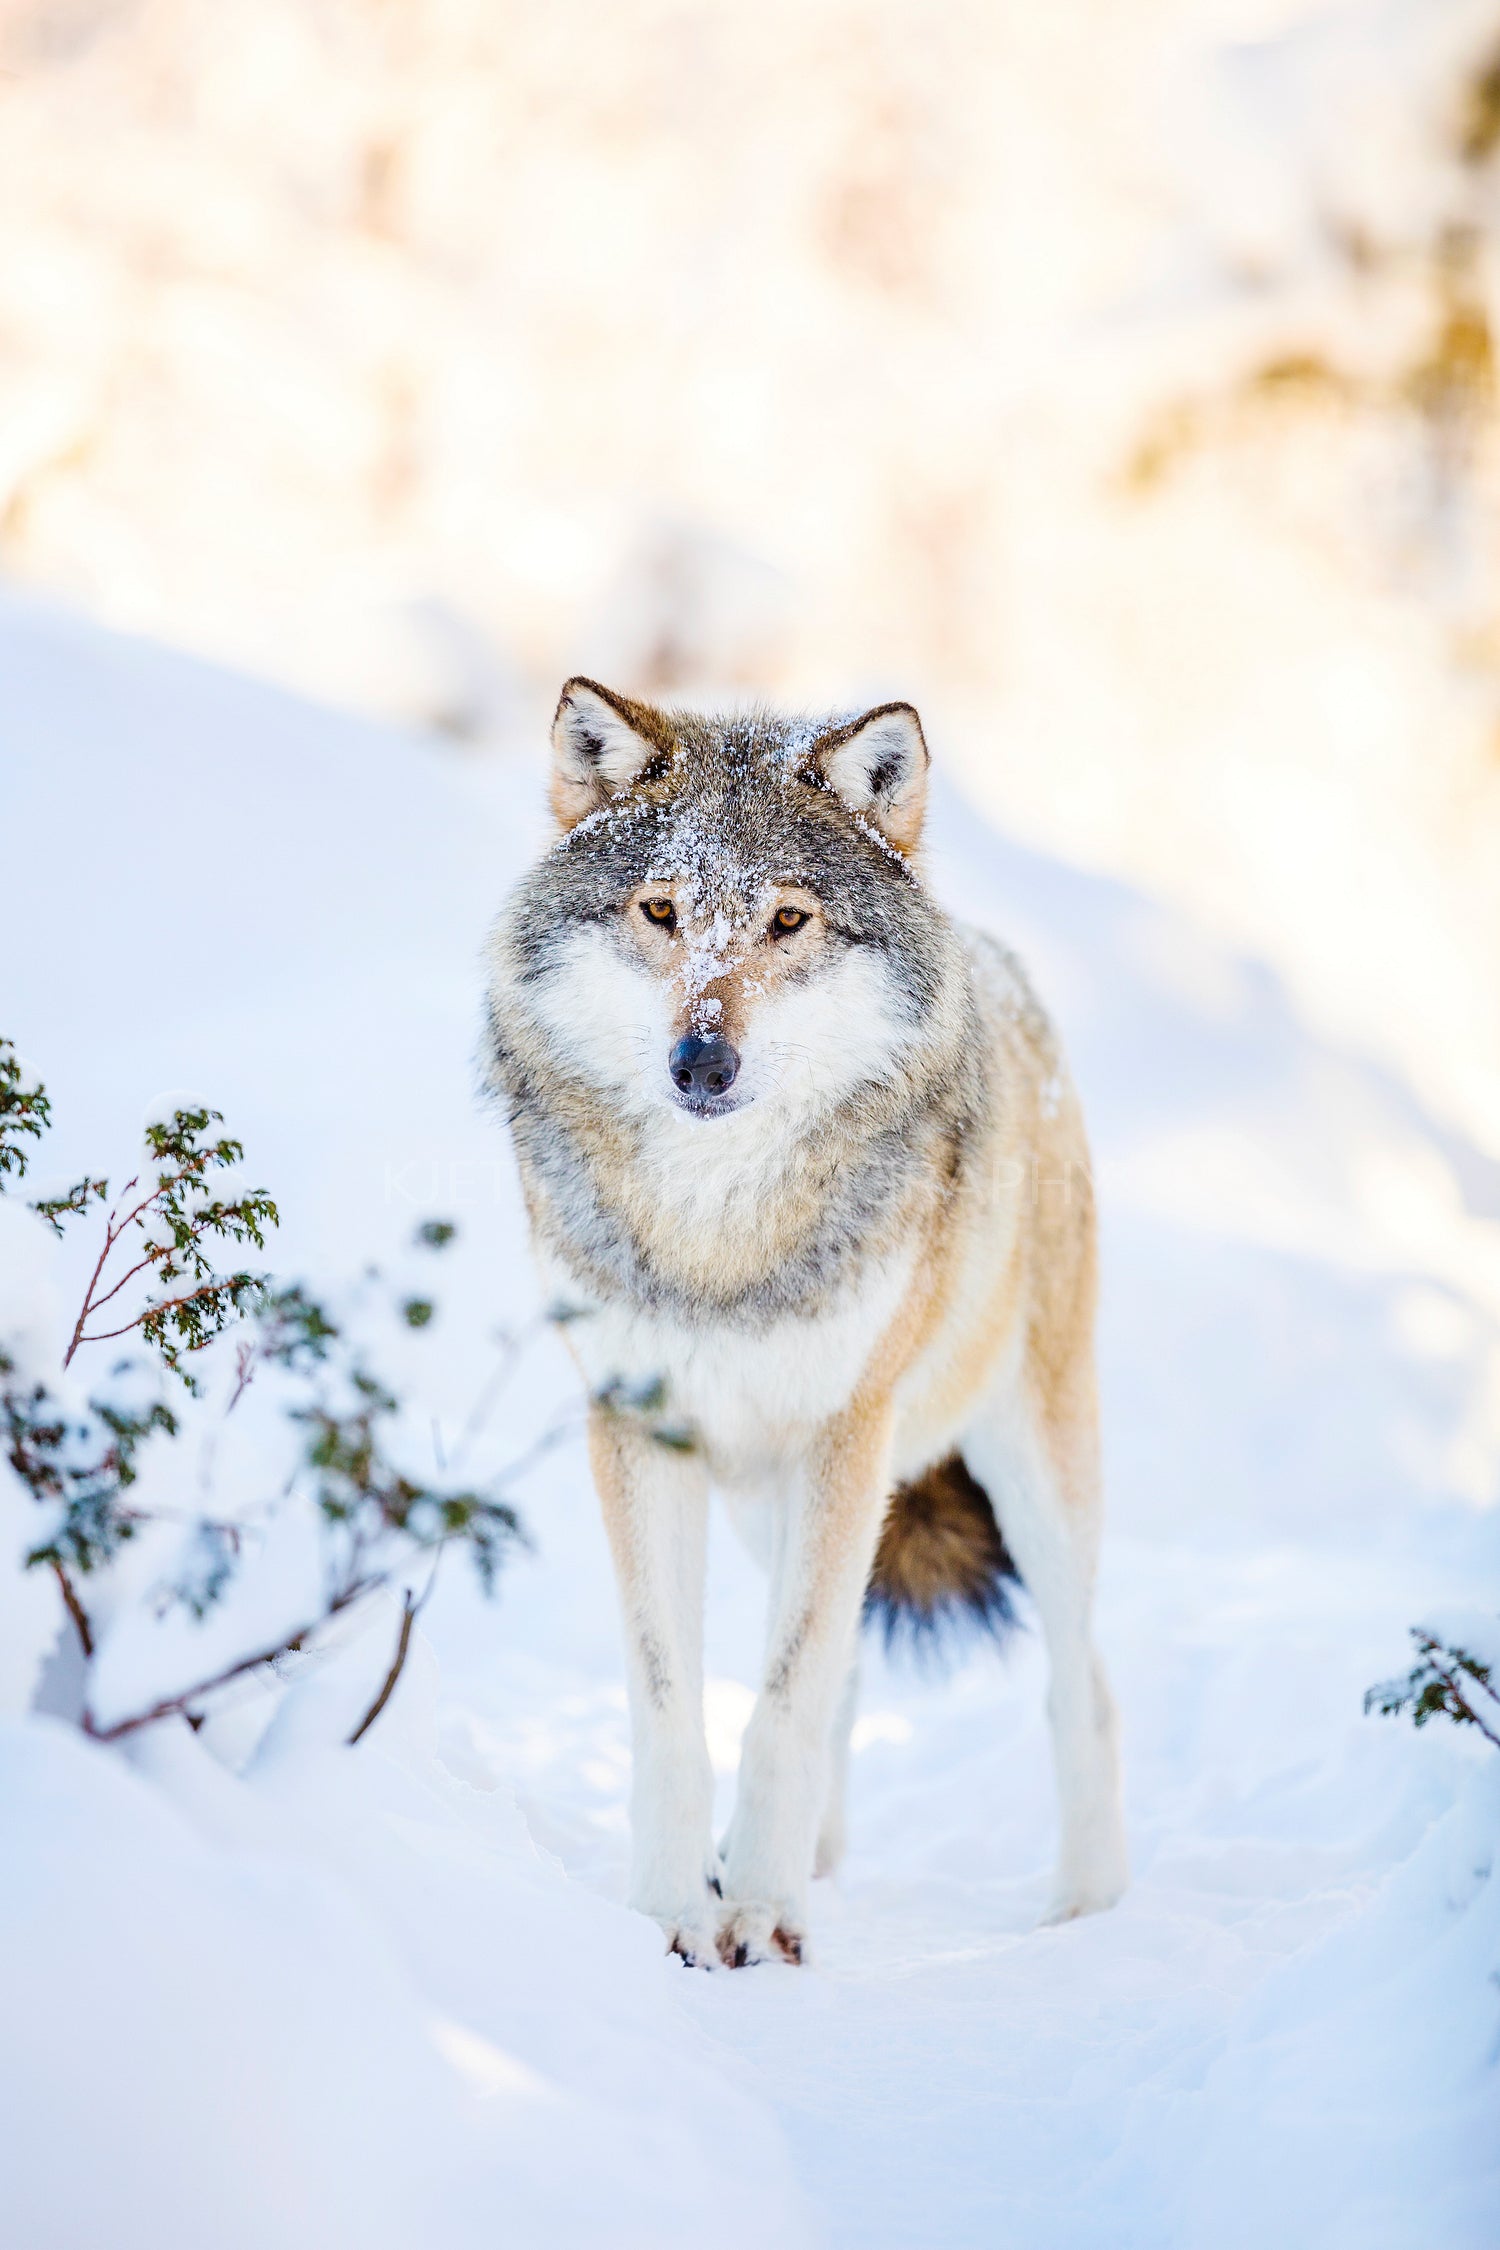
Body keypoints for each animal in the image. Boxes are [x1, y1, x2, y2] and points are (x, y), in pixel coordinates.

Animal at [488, 675, 1133, 1962]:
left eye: (788, 920)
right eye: (661, 910)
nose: (702, 1062)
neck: (719, 1236)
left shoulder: (849, 1429)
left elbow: (781, 1703)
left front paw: (764, 1916)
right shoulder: (643, 1435)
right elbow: (679, 1706)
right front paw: (677, 1913)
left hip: (1022, 1469)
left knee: (1078, 1685)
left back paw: (1087, 1913)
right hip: (769, 1501)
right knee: (846, 1675)